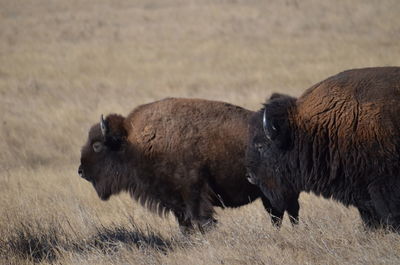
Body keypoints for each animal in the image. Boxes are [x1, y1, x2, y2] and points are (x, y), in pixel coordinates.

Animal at [78, 97, 298, 233]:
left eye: (97, 145)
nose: (81, 171)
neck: (135, 142)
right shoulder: (175, 201)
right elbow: (185, 225)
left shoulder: (193, 192)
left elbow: (200, 220)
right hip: (269, 194)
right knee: (279, 214)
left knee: (289, 212)